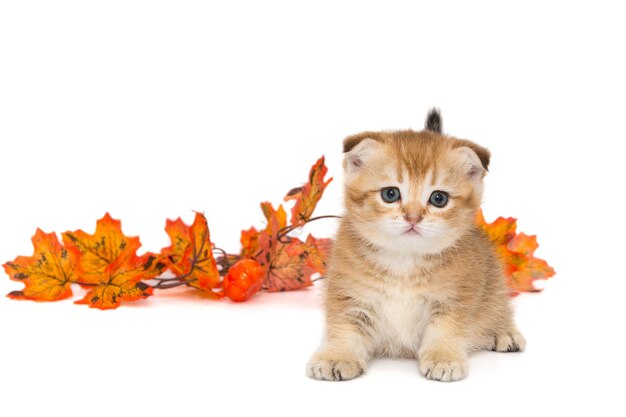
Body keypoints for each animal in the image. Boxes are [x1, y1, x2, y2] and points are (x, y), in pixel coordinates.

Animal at [306, 109, 520, 380]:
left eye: (439, 198)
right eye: (390, 194)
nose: (413, 217)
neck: (404, 261)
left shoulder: (455, 298)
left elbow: (445, 328)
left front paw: (442, 357)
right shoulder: (349, 294)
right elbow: (345, 328)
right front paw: (337, 356)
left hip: (493, 278)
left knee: (498, 303)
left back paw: (505, 332)